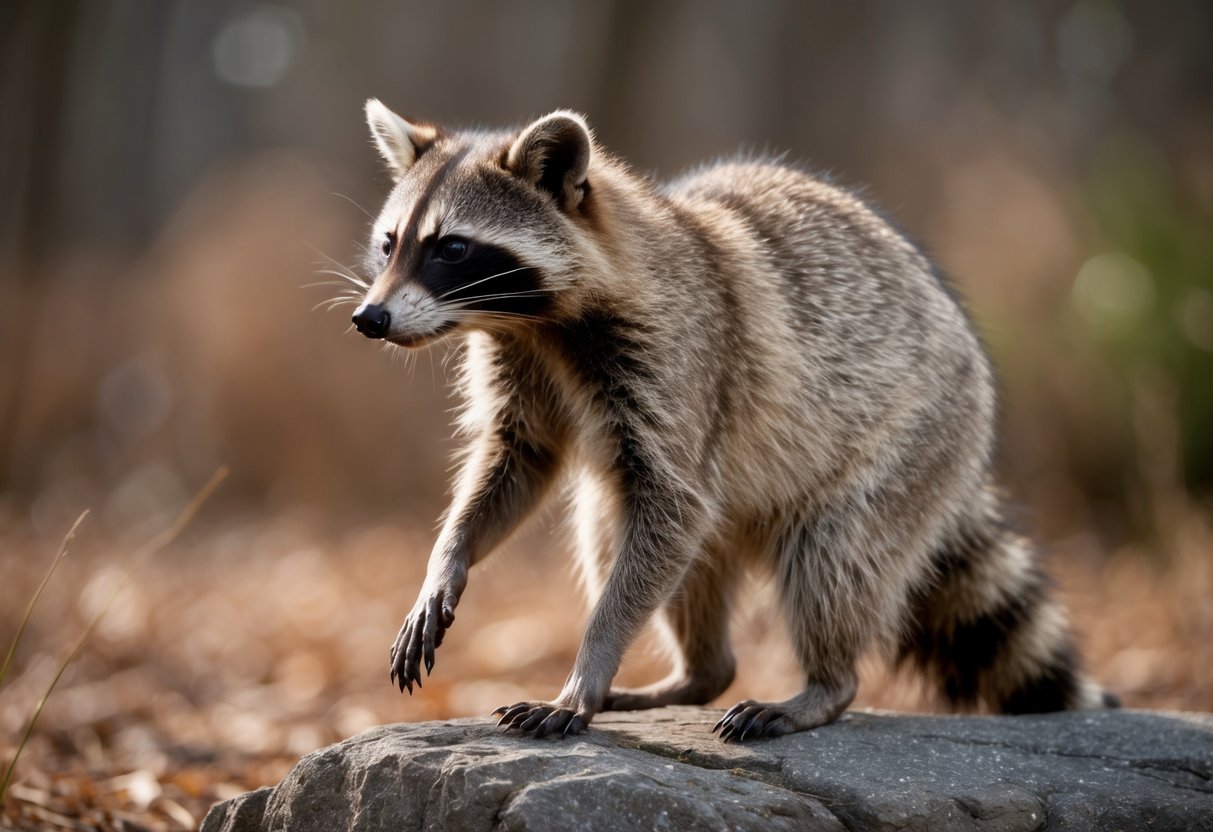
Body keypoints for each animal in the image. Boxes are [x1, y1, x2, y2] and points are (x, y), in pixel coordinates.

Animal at [353, 99, 1116, 740]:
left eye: (451, 247)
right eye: (390, 243)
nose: (369, 318)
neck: (540, 323)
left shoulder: (680, 359)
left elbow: (672, 503)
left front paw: (587, 667)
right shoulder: (520, 366)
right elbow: (517, 463)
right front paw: (447, 560)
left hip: (917, 437)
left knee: (831, 557)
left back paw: (824, 685)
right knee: (624, 532)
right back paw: (697, 675)